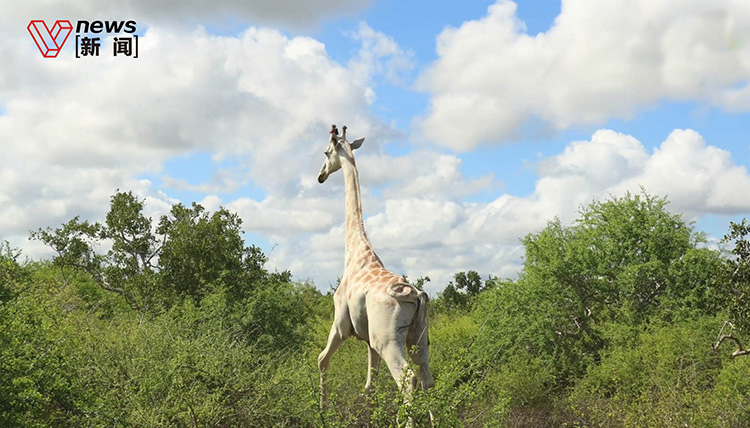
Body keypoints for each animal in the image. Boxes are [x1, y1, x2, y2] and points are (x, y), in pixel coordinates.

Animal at [316, 124, 434, 415]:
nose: (320, 176)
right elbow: (370, 385)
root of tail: (416, 297)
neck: (355, 251)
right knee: (427, 379)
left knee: (408, 380)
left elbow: (322, 359)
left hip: (388, 338)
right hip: (419, 337)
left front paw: (322, 411)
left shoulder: (340, 323)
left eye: (326, 153)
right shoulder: (368, 340)